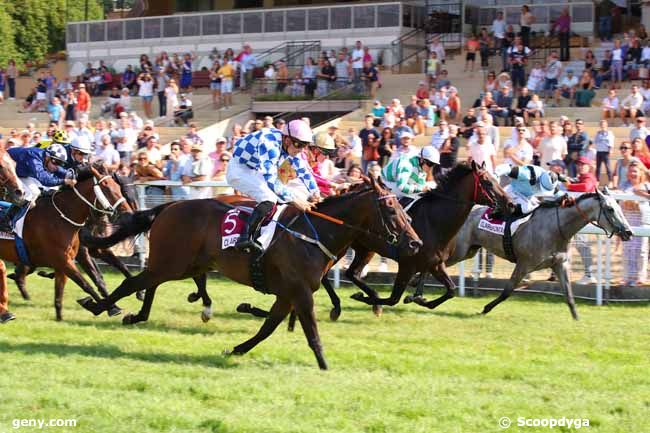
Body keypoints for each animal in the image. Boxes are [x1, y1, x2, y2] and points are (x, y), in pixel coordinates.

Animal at [0, 162, 132, 320]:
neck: (62, 217)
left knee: (21, 272)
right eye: (107, 188)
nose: (128, 213)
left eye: (119, 188)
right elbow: (88, 283)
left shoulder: (76, 256)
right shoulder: (67, 259)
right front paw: (108, 307)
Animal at [77, 177, 420, 370]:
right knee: (135, 282)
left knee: (151, 283)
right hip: (172, 262)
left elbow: (269, 326)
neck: (314, 234)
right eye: (391, 210)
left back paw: (136, 313)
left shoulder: (288, 293)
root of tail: (168, 206)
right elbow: (311, 330)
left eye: (403, 209)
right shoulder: (300, 292)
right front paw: (324, 365)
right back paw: (100, 305)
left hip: (182, 264)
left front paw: (237, 348)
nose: (415, 243)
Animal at [408, 187, 632, 318]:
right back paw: (417, 294)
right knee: (432, 263)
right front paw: (486, 308)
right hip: (459, 250)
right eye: (610, 209)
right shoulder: (524, 264)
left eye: (619, 208)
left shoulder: (559, 264)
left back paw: (416, 292)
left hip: (468, 251)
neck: (556, 227)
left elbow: (568, 295)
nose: (628, 232)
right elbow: (508, 290)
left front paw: (576, 318)